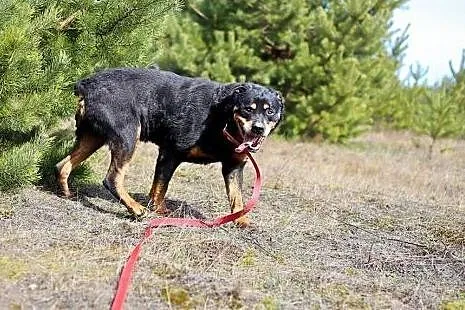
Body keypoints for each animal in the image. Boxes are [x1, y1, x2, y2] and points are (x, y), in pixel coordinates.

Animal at [56, 68, 284, 226]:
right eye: (248, 109)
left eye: (270, 111)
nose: (258, 128)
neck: (223, 118)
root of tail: (87, 84)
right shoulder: (170, 153)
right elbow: (160, 187)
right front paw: (159, 211)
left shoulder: (234, 167)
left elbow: (237, 198)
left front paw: (241, 220)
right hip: (128, 135)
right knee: (112, 179)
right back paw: (136, 209)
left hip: (92, 138)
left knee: (63, 165)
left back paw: (66, 193)